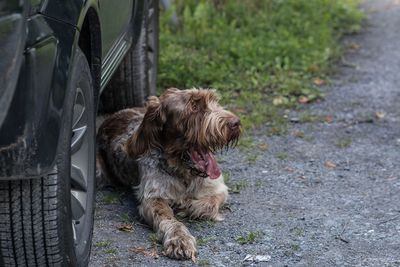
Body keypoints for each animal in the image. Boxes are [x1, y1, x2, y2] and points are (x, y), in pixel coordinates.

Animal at [97, 88, 241, 262]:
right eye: (194, 107)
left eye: (214, 101)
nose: (236, 123)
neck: (183, 173)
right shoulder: (152, 199)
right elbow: (170, 220)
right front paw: (180, 240)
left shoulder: (218, 188)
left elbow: (208, 203)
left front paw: (189, 206)